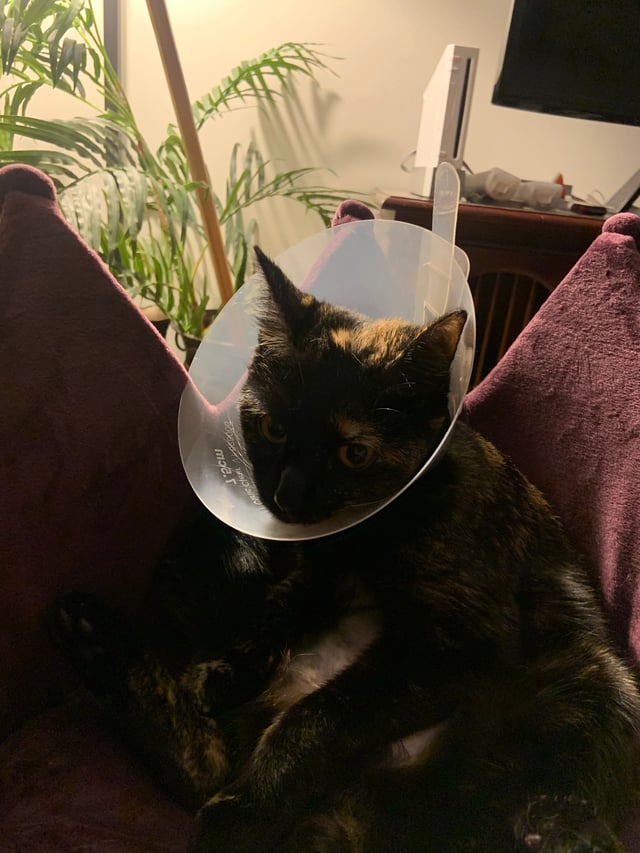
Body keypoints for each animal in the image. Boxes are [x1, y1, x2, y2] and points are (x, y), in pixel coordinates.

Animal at [48, 245, 640, 853]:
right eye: (273, 428)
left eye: (354, 453)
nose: (286, 495)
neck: (359, 540)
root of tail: (349, 821)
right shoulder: (311, 572)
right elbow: (275, 617)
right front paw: (226, 673)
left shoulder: (453, 641)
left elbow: (317, 718)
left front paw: (248, 807)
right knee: (200, 763)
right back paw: (90, 633)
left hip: (596, 675)